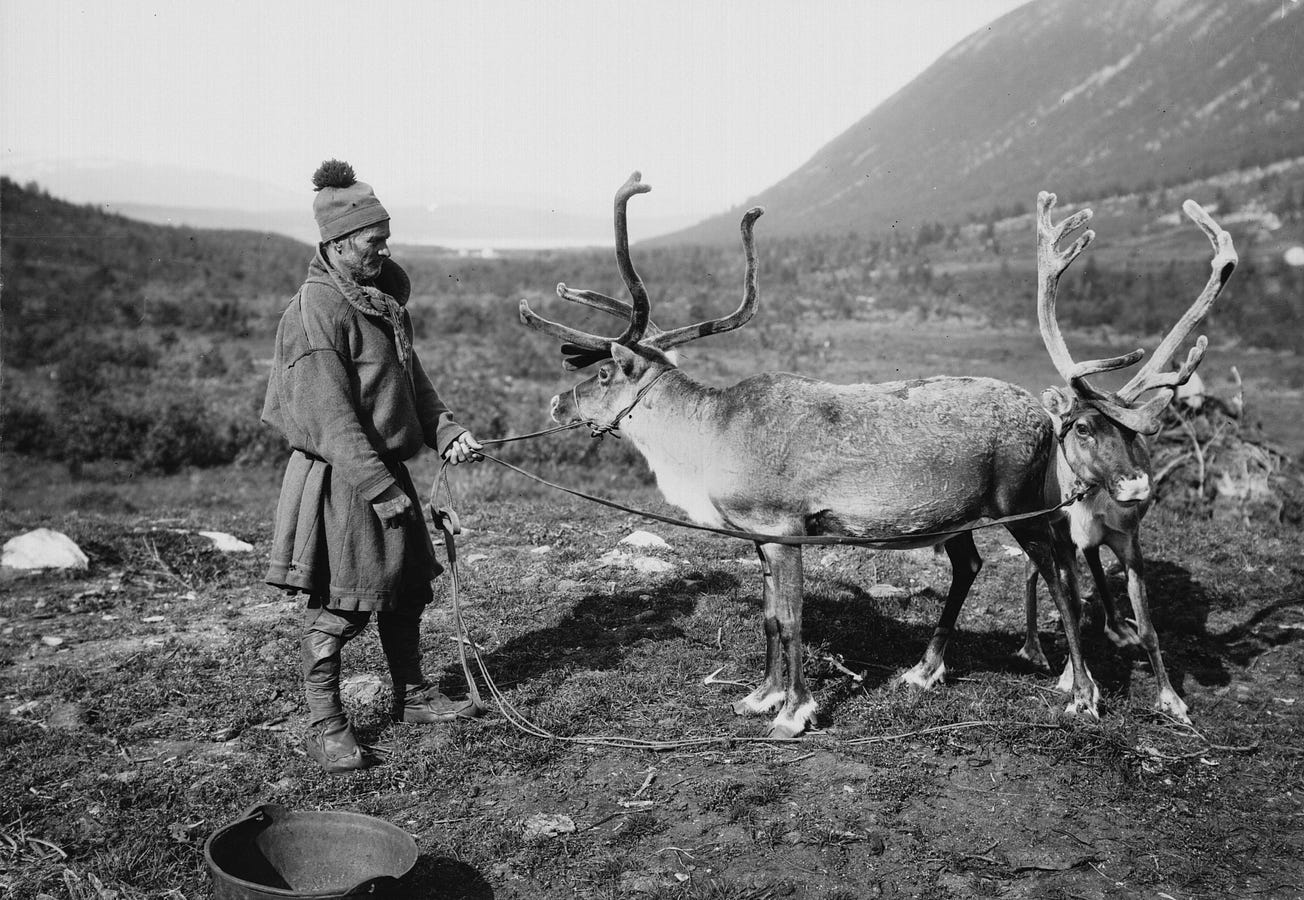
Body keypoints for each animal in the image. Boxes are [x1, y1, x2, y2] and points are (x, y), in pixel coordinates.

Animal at [518, 172, 1096, 739]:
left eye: (603, 373)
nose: (556, 402)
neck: (707, 440)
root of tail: (1048, 420)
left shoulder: (784, 526)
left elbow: (795, 619)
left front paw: (795, 710)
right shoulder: (758, 534)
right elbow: (771, 616)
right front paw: (761, 695)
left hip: (1021, 503)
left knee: (1060, 575)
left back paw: (1081, 693)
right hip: (959, 514)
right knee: (973, 564)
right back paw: (925, 670)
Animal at [1019, 191, 1237, 724]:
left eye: (1133, 432)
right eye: (1082, 427)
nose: (1137, 485)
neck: (1087, 498)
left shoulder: (1128, 538)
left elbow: (1150, 625)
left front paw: (1171, 696)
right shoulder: (1057, 535)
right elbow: (1070, 611)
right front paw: (1080, 689)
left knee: (1095, 569)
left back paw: (1115, 626)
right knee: (1035, 578)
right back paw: (1036, 648)